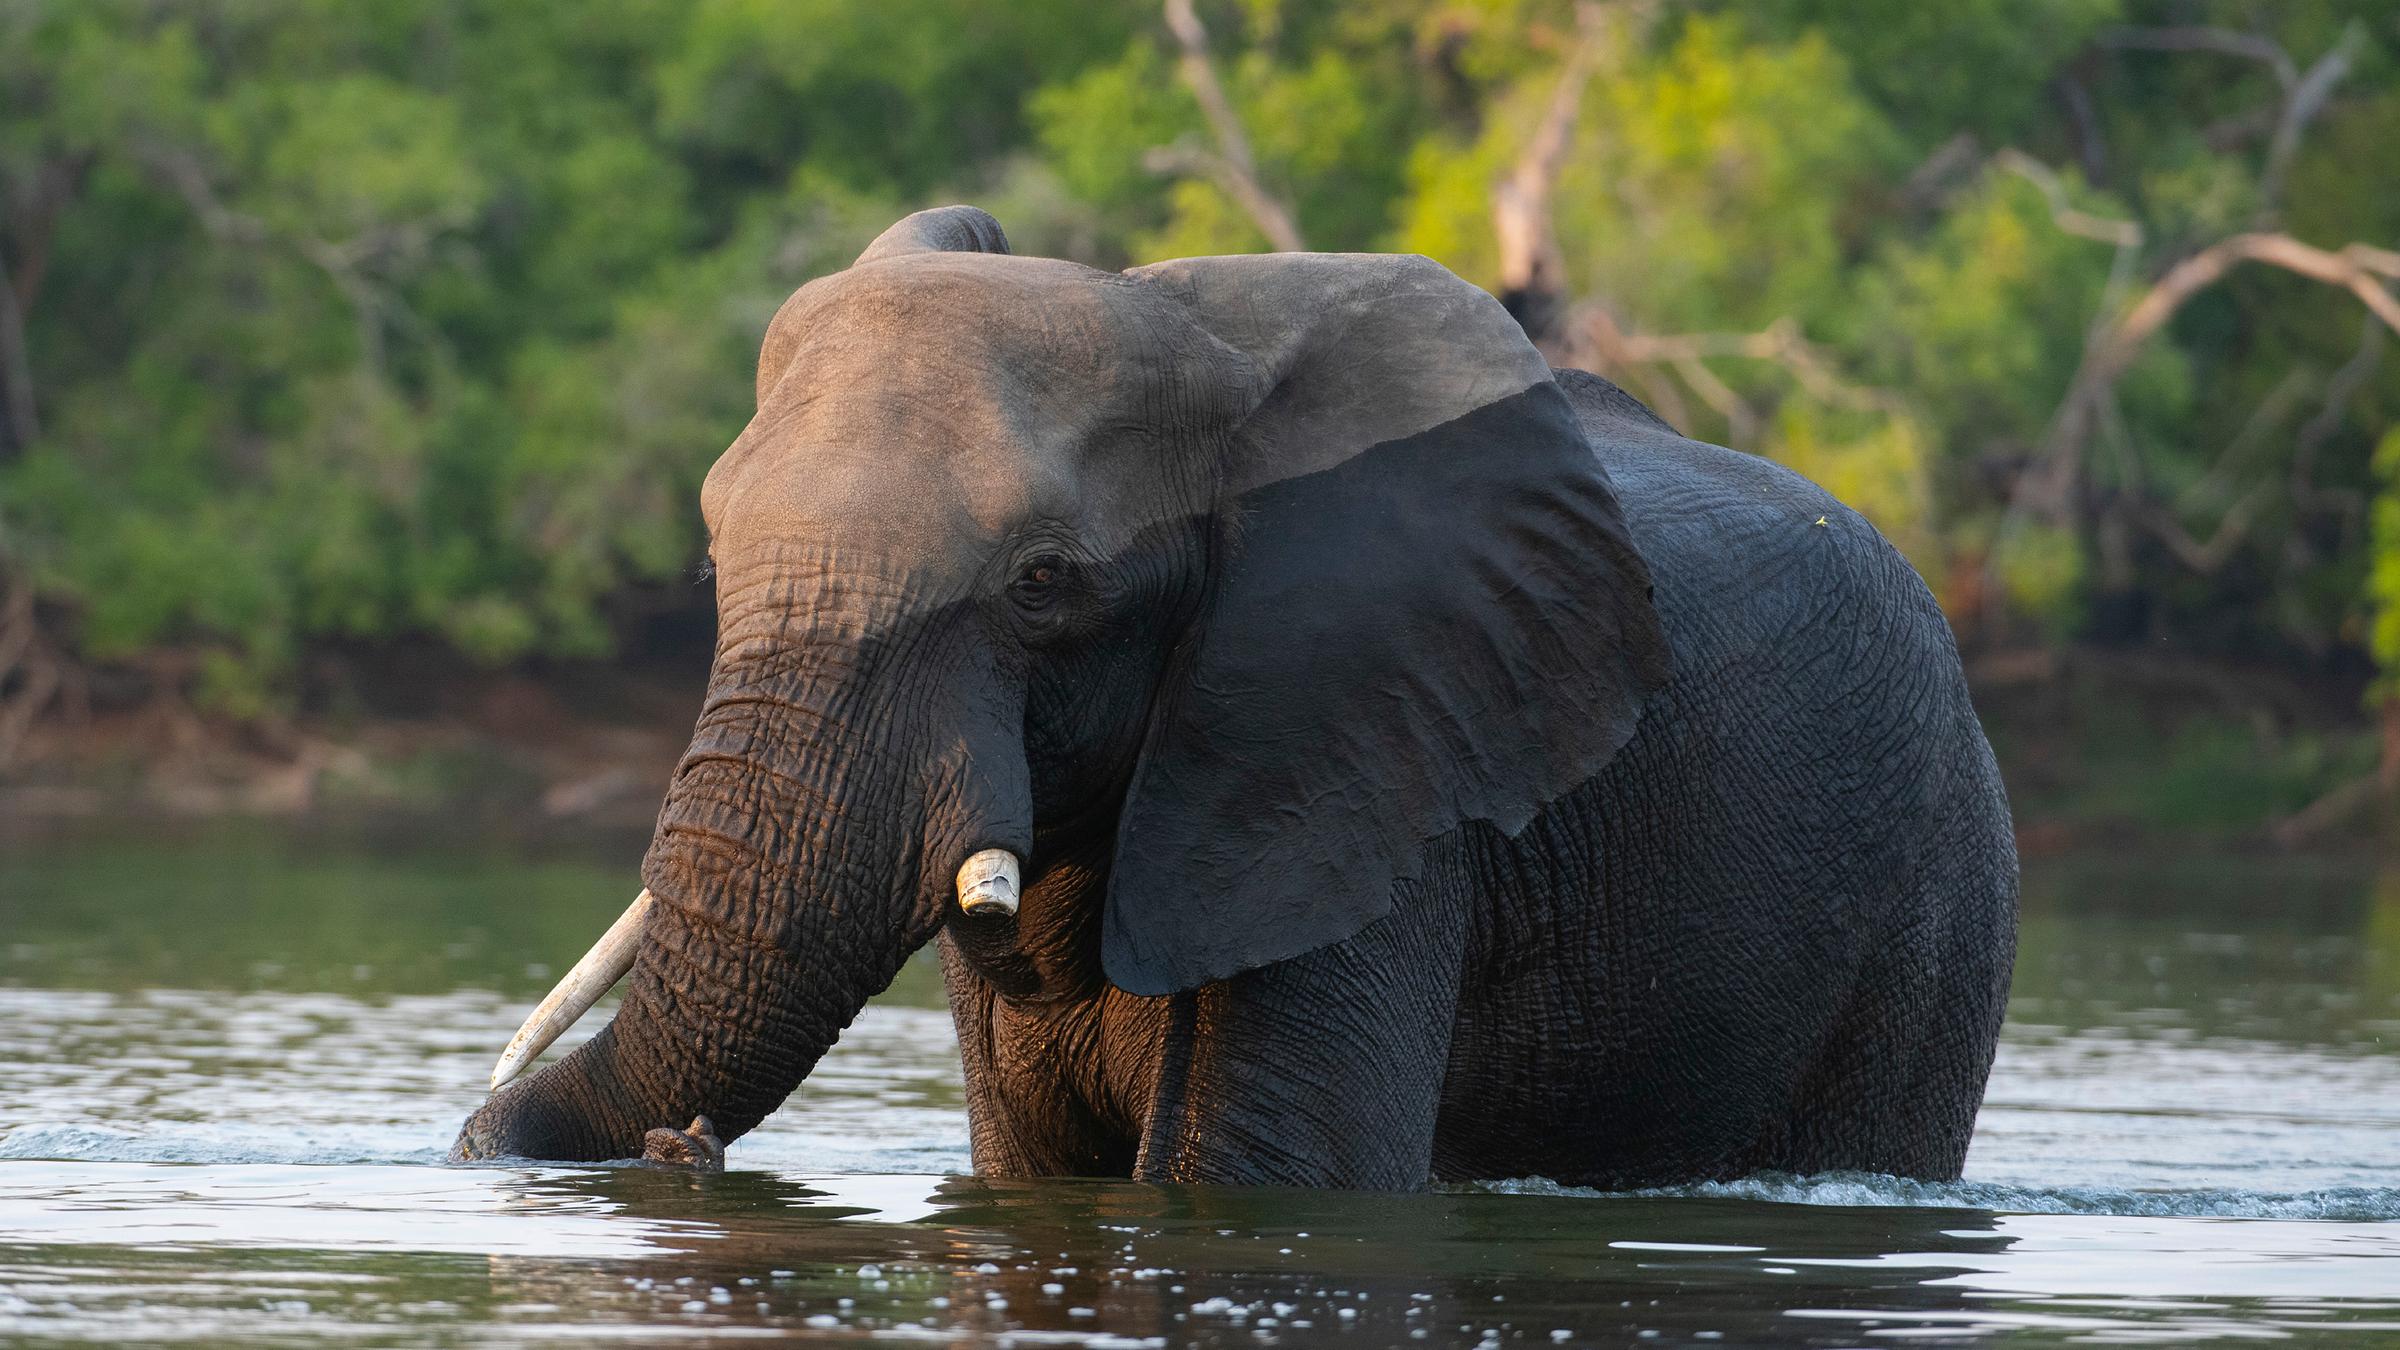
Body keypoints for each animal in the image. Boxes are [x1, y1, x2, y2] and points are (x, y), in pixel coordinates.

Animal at [453, 205, 2018, 1191]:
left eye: (1042, 581)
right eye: (717, 555)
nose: (680, 1151)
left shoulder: (1371, 763)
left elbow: (1264, 1170)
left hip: (1940, 901)